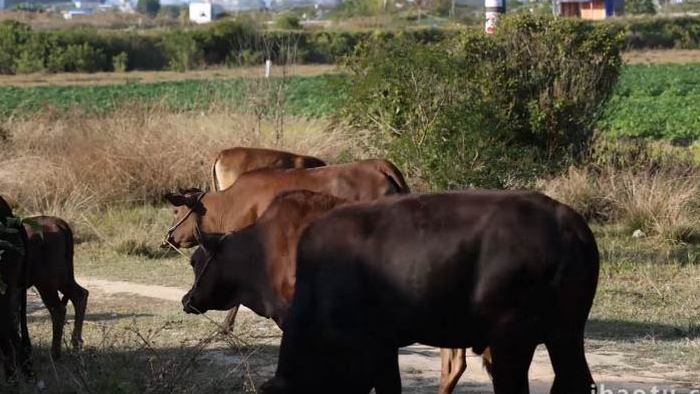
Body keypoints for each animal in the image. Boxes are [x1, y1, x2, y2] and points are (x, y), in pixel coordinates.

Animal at [22, 217, 87, 362]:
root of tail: (57, 222)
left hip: (45, 283)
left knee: (58, 310)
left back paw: (55, 353)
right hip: (64, 279)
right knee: (80, 295)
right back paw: (76, 343)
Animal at [260, 190, 600, 390]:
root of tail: (568, 222)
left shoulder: (365, 350)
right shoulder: (384, 346)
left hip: (512, 340)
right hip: (564, 332)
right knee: (575, 380)